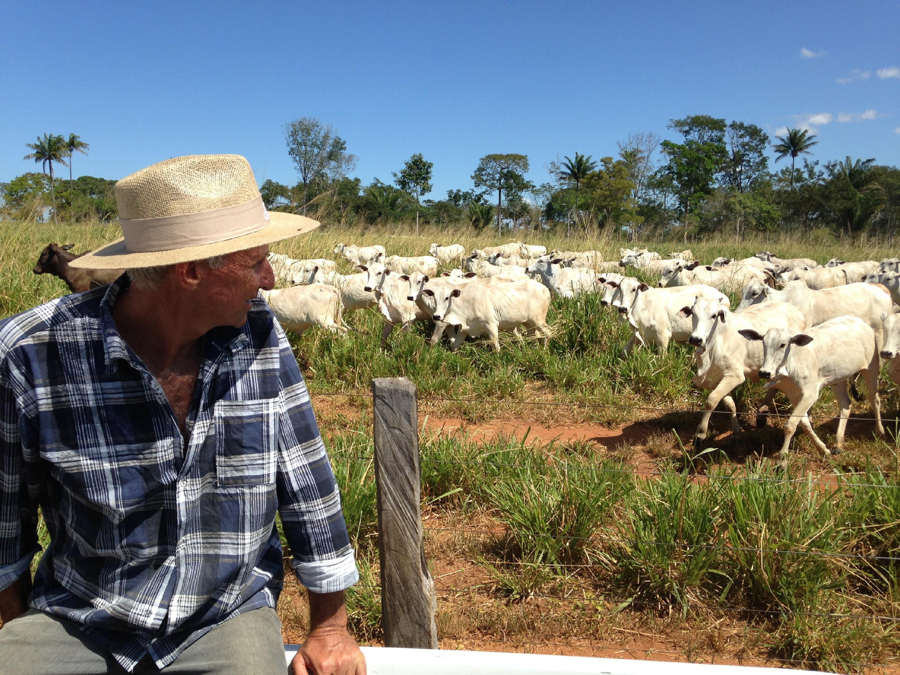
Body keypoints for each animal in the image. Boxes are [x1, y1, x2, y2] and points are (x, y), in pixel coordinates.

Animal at [424, 276, 556, 352]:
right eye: (434, 298)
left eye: (447, 298)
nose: (436, 316)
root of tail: (544, 288)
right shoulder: (464, 329)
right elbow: (454, 346)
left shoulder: (491, 325)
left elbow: (496, 347)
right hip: (529, 323)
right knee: (536, 336)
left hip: (538, 320)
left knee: (549, 332)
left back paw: (545, 351)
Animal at [684, 294, 808, 444]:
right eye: (693, 313)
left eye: (713, 315)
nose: (695, 339)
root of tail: (794, 310)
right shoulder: (720, 378)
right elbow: (730, 405)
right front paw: (737, 432)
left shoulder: (734, 376)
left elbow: (711, 401)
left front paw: (700, 434)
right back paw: (761, 415)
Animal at [740, 316, 884, 464]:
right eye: (763, 342)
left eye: (782, 344)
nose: (764, 373)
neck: (792, 366)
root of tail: (860, 321)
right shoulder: (794, 395)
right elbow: (805, 424)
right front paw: (823, 450)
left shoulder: (810, 394)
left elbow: (790, 425)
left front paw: (782, 458)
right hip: (838, 378)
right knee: (846, 404)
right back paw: (838, 444)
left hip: (871, 368)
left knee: (875, 399)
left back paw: (879, 432)